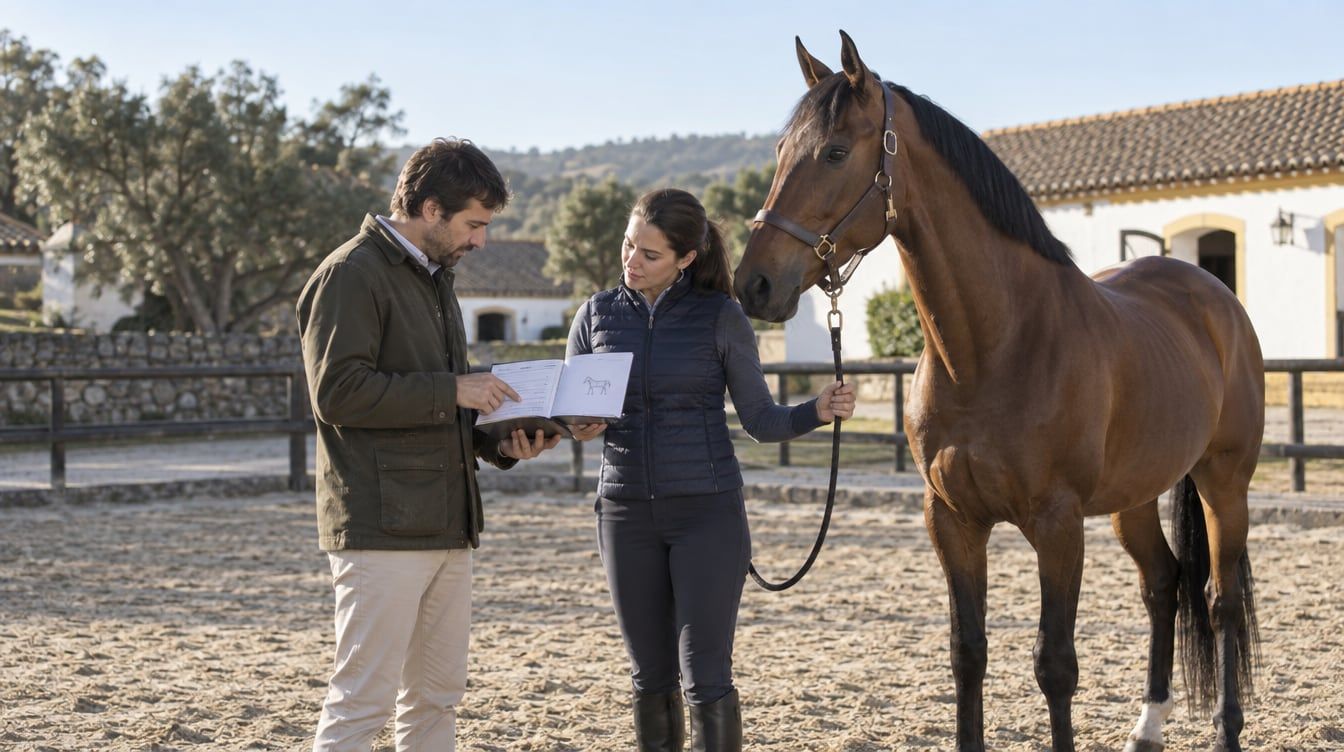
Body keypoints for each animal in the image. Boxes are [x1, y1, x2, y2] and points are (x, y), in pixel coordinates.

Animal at [732, 31, 1263, 752]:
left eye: (836, 151)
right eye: (782, 152)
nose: (752, 283)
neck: (994, 349)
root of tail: (1214, 296)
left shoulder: (1058, 523)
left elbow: (1055, 665)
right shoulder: (952, 519)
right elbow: (968, 653)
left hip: (1222, 482)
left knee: (1222, 601)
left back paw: (1226, 727)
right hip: (1135, 496)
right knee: (1163, 584)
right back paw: (1147, 726)